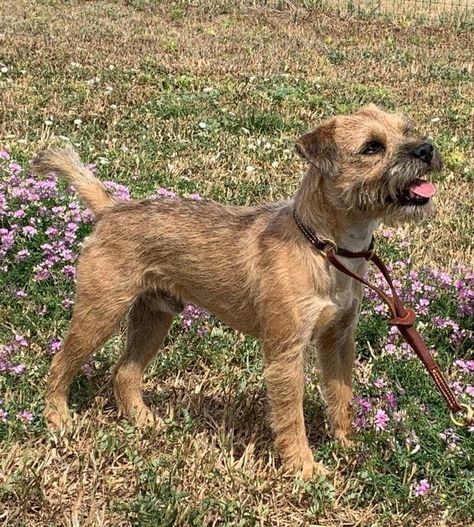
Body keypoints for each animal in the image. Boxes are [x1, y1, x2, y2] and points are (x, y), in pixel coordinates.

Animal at [32, 103, 440, 478]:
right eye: (372, 147)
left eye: (406, 130)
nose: (426, 149)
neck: (325, 247)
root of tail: (111, 209)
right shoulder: (286, 355)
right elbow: (291, 417)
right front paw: (304, 468)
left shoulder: (338, 339)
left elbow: (342, 397)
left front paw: (347, 445)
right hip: (100, 313)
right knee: (60, 363)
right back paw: (57, 419)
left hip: (154, 318)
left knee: (125, 372)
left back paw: (143, 420)